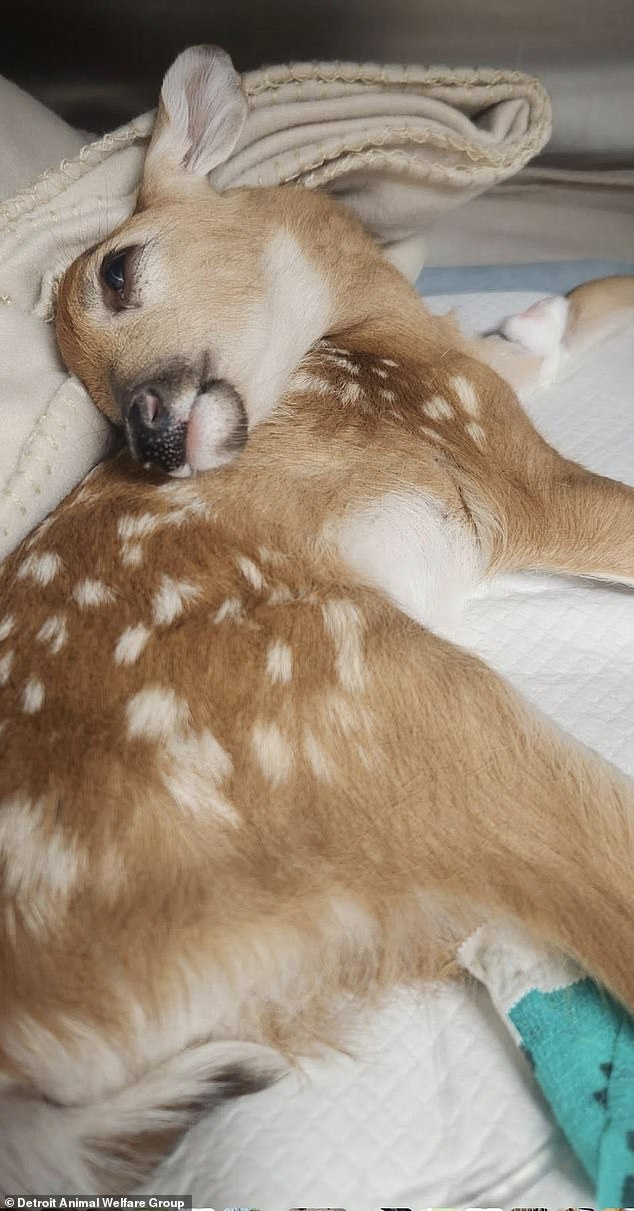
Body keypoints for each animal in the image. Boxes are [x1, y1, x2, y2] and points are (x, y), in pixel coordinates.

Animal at [0, 44, 633, 1196]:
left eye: (116, 270)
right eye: (92, 398)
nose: (151, 438)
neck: (355, 325)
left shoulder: (474, 387)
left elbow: (560, 318)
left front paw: (552, 306)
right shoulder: (507, 476)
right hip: (382, 703)